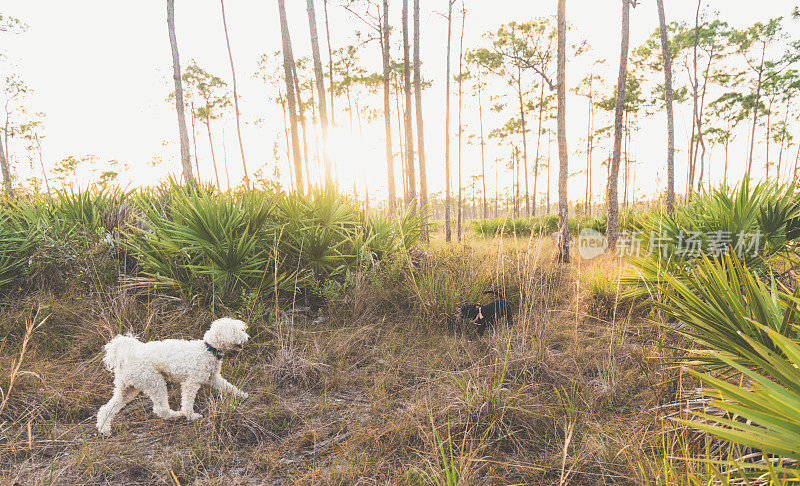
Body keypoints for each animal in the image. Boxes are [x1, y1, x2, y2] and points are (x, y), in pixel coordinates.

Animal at [99, 318, 252, 434]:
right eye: (238, 331)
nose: (249, 337)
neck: (208, 349)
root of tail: (124, 357)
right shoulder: (191, 383)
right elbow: (188, 403)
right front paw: (191, 416)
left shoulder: (213, 378)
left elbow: (229, 387)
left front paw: (243, 395)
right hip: (154, 382)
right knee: (160, 409)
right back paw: (176, 415)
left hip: (127, 389)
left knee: (107, 409)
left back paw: (104, 429)